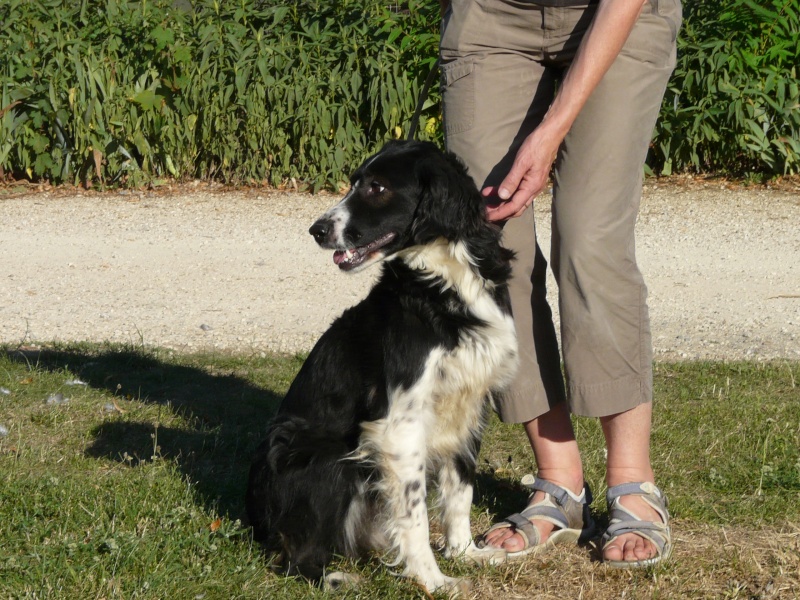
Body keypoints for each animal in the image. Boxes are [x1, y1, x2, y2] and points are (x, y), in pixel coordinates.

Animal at [245, 141, 520, 596]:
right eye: (356, 182)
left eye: (377, 187)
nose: (317, 229)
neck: (444, 283)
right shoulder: (400, 424)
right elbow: (415, 513)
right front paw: (433, 580)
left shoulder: (469, 406)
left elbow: (460, 491)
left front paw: (465, 554)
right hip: (327, 455)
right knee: (295, 557)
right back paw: (334, 577)